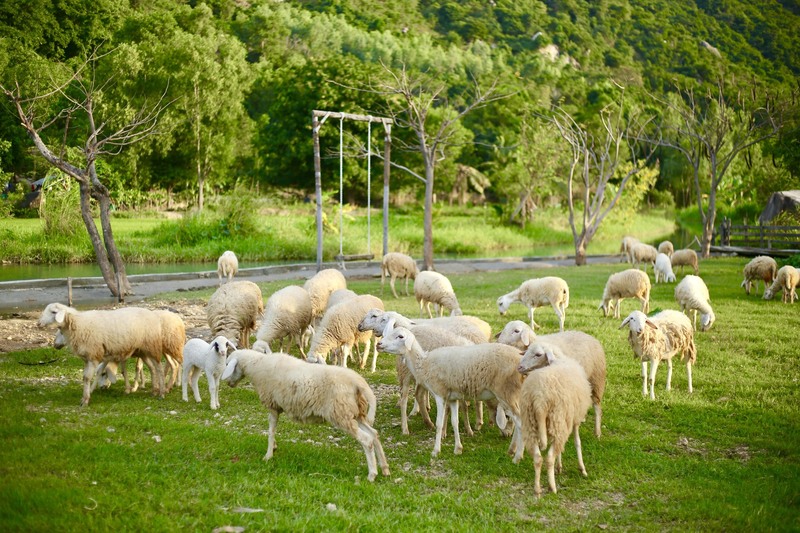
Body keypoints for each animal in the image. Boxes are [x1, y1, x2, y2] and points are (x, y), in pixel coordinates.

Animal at [38, 302, 166, 406]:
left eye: (54, 312)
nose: (38, 323)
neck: (79, 324)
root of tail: (153, 315)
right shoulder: (87, 358)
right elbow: (86, 377)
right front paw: (85, 397)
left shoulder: (93, 356)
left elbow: (88, 377)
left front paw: (85, 400)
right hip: (142, 350)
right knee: (152, 368)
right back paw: (154, 390)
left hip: (152, 347)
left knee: (159, 368)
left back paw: (161, 393)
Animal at [222, 348, 390, 480]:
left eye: (228, 364)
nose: (228, 384)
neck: (257, 365)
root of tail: (358, 381)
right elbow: (272, 430)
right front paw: (273, 448)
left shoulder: (273, 405)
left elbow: (271, 430)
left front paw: (268, 455)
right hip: (355, 413)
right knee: (374, 434)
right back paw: (384, 468)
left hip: (341, 413)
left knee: (366, 440)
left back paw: (372, 474)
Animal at [380, 326, 528, 460]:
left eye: (400, 336)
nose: (379, 344)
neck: (423, 363)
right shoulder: (452, 398)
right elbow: (454, 422)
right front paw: (458, 449)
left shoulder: (440, 395)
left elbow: (439, 423)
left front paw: (436, 450)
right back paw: (511, 450)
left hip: (506, 393)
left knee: (520, 422)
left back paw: (518, 455)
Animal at [516, 340, 592, 494]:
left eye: (538, 354)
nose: (519, 367)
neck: (558, 359)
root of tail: (539, 399)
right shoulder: (575, 419)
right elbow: (577, 442)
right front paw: (582, 469)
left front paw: (560, 467)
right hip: (557, 418)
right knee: (549, 457)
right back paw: (552, 487)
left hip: (531, 423)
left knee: (538, 457)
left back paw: (537, 489)